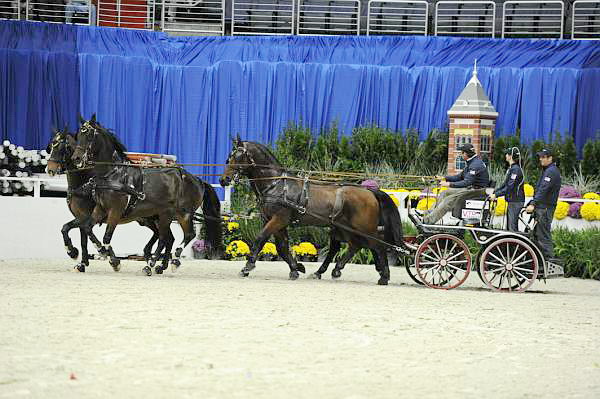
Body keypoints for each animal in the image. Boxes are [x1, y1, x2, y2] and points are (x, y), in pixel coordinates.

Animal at [68, 115, 223, 276]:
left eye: (89, 136)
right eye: (78, 136)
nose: (76, 159)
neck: (113, 175)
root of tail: (197, 180)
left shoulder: (115, 212)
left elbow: (106, 237)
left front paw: (114, 262)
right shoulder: (100, 209)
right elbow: (87, 228)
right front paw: (95, 252)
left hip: (182, 214)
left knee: (185, 236)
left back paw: (165, 262)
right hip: (163, 215)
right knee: (167, 238)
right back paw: (158, 265)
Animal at [218, 136, 406, 286]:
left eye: (237, 156)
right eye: (229, 157)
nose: (223, 180)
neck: (276, 184)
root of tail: (370, 191)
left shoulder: (279, 219)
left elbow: (261, 238)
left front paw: (247, 266)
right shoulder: (274, 220)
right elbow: (282, 247)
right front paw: (296, 268)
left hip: (364, 228)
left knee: (377, 245)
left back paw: (384, 276)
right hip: (345, 227)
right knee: (355, 245)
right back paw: (331, 271)